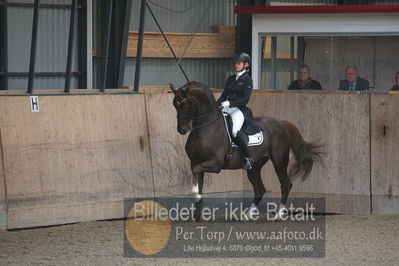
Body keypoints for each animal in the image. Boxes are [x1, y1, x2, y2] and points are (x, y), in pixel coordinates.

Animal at [170, 82, 324, 219]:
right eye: (174, 105)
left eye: (184, 103)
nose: (182, 129)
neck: (207, 127)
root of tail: (281, 123)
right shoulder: (197, 162)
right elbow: (198, 180)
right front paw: (197, 212)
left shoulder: (215, 164)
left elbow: (196, 172)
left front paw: (196, 196)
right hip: (254, 166)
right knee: (260, 189)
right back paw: (247, 215)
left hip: (279, 161)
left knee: (286, 184)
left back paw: (278, 215)